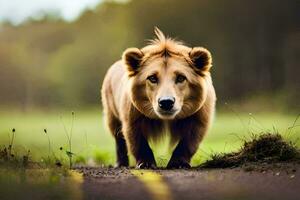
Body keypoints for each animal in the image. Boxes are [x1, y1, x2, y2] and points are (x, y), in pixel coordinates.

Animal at [101, 27, 216, 169]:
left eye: (181, 77)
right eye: (152, 78)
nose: (166, 102)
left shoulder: (198, 114)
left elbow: (189, 140)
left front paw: (178, 162)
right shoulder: (133, 113)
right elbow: (136, 139)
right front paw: (145, 163)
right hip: (111, 106)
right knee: (117, 135)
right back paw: (120, 163)